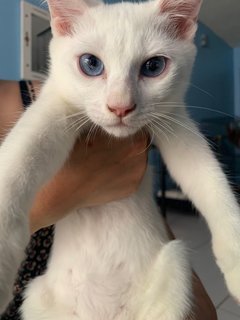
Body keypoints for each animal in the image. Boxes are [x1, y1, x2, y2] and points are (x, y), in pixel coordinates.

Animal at [0, 0, 240, 318]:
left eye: (153, 66)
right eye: (90, 64)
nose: (120, 107)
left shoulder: (174, 121)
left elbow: (207, 178)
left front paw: (236, 261)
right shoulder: (55, 106)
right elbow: (22, 156)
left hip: (174, 269)